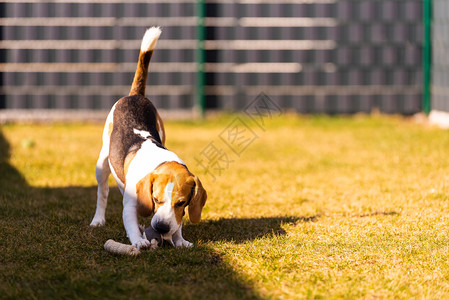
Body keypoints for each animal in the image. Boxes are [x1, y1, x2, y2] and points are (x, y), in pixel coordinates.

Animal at [89, 27, 208, 248]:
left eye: (181, 203)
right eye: (156, 199)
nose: (161, 228)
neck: (160, 162)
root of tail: (136, 95)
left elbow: (178, 223)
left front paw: (180, 240)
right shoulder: (129, 205)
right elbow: (130, 222)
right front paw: (138, 241)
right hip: (102, 163)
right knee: (103, 192)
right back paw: (98, 220)